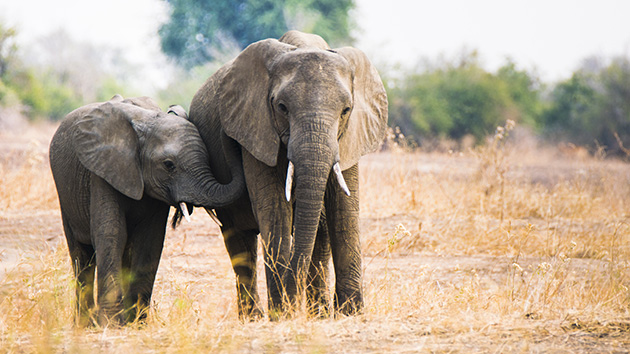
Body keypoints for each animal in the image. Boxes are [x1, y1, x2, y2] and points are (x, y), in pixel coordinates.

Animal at [49, 94, 246, 326]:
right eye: (169, 165)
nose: (230, 136)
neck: (146, 122)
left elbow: (150, 240)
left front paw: (136, 323)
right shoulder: (102, 171)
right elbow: (111, 233)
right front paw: (110, 324)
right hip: (65, 197)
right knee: (82, 258)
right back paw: (84, 324)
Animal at [191, 30, 390, 318]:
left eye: (346, 110)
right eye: (282, 107)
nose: (292, 303)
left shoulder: (350, 137)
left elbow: (344, 210)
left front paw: (350, 314)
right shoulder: (256, 129)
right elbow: (274, 208)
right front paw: (282, 315)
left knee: (319, 231)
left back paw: (318, 312)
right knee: (239, 239)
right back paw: (255, 318)